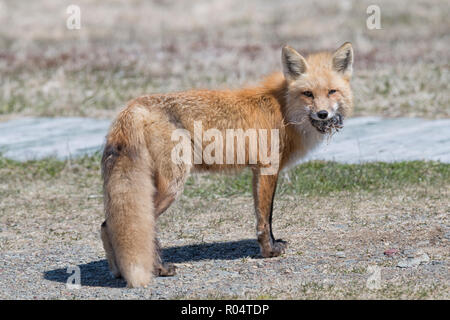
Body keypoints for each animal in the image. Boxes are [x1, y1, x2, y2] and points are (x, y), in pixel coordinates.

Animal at [100, 42, 354, 288]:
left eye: (332, 92)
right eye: (308, 94)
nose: (323, 114)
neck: (283, 110)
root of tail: (131, 107)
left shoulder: (256, 171)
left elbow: (262, 216)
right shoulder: (268, 168)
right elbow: (266, 218)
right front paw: (269, 251)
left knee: (106, 225)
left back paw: (118, 272)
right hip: (171, 186)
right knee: (141, 225)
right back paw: (158, 269)